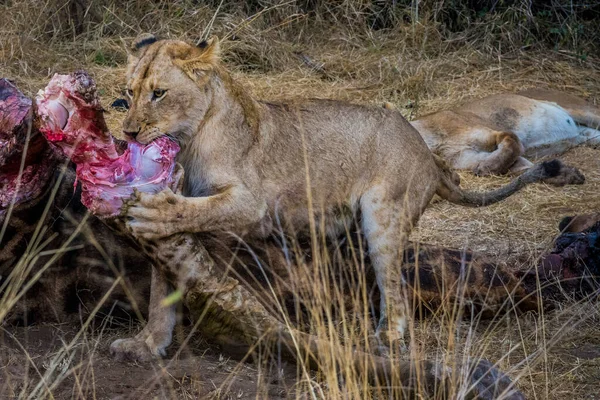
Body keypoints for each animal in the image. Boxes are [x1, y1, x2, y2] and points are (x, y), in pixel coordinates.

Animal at [412, 90, 600, 178]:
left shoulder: (496, 133)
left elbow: (513, 145)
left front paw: (487, 168)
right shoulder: (464, 157)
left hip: (582, 110)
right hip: (589, 136)